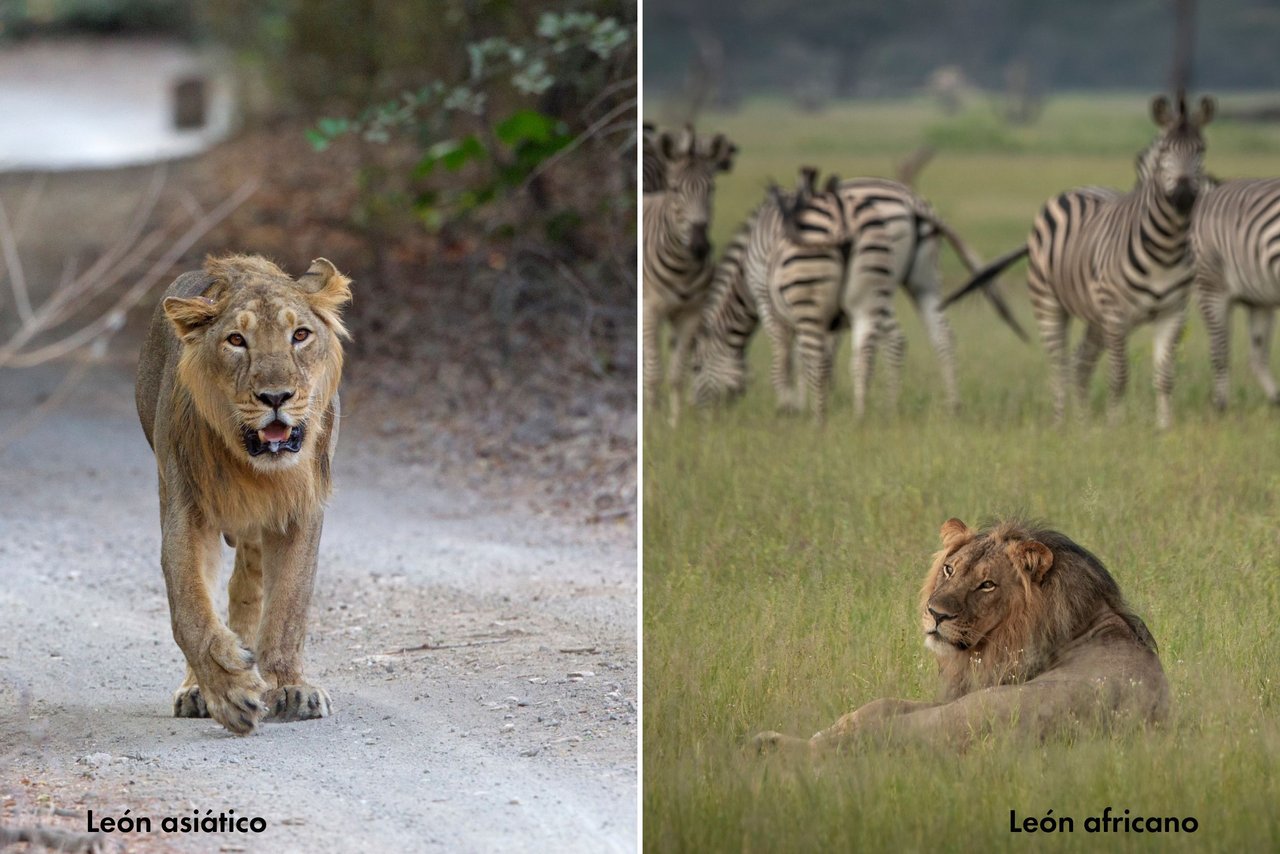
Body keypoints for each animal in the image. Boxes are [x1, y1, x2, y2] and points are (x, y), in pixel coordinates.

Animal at [135, 254, 352, 735]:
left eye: (300, 335)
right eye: (237, 340)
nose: (276, 397)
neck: (256, 469)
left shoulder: (300, 511)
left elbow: (289, 604)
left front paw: (288, 686)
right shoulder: (185, 509)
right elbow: (191, 610)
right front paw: (230, 691)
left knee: (247, 586)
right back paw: (196, 688)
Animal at [754, 518, 1168, 754]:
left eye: (987, 584)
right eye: (950, 569)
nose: (935, 613)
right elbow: (882, 703)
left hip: (973, 711)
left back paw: (765, 743)